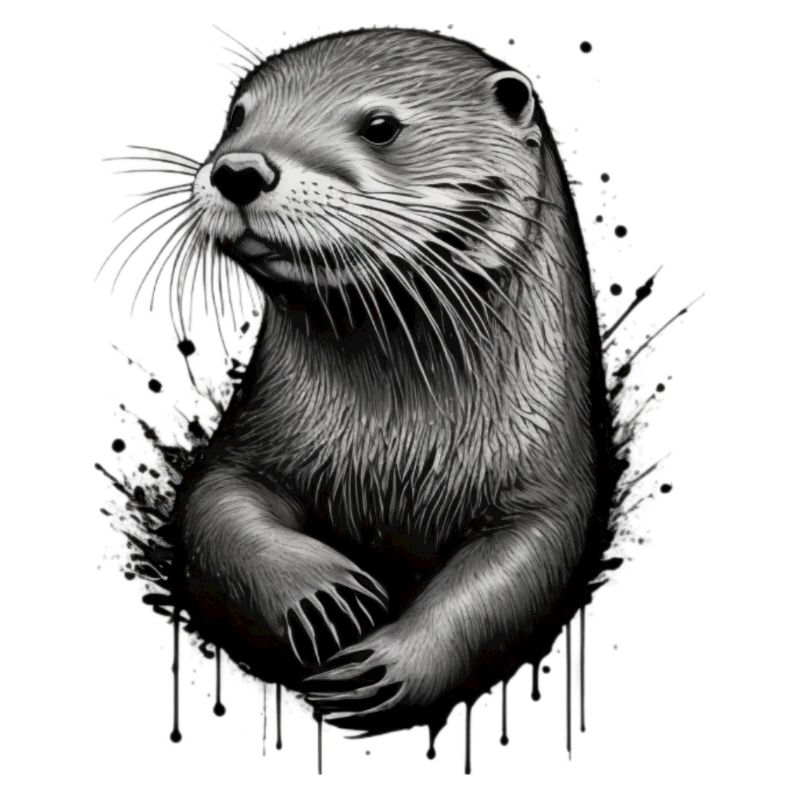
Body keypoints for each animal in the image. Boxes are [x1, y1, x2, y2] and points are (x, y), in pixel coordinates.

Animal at [172, 28, 612, 734]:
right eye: (236, 116)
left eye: (381, 127)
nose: (238, 169)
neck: (396, 445)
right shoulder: (250, 439)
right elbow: (213, 507)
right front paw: (322, 596)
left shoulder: (554, 476)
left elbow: (516, 572)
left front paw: (390, 667)